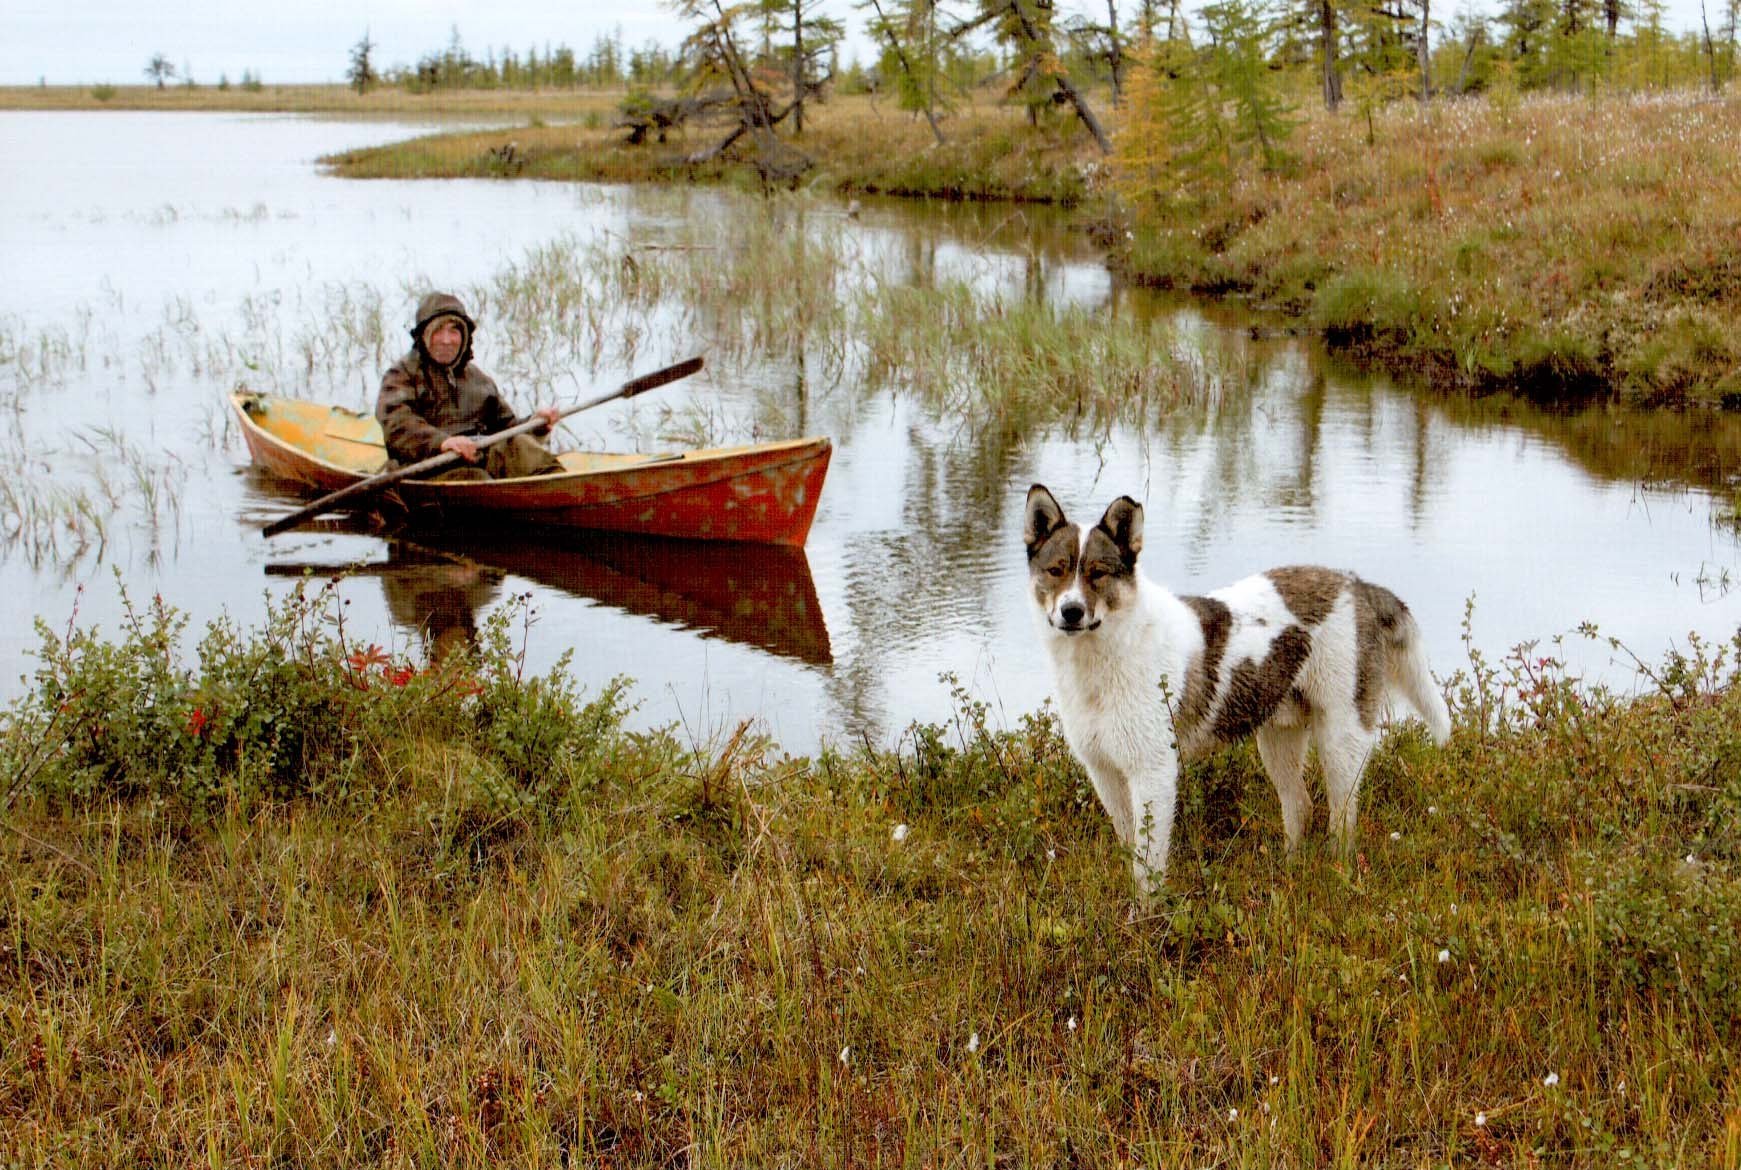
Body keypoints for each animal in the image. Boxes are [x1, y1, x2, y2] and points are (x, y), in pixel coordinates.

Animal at [1023, 484, 1448, 898]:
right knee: (1301, 805)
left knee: (1342, 823)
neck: (1107, 654)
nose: (1072, 612)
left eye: (1097, 574)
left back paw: (1335, 877)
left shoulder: (1153, 773)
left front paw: (1147, 914)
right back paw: (1288, 872)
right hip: (1278, 742)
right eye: (1056, 570)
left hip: (1341, 742)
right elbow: (1131, 849)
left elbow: (1148, 864)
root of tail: (1358, 585)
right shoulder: (1105, 772)